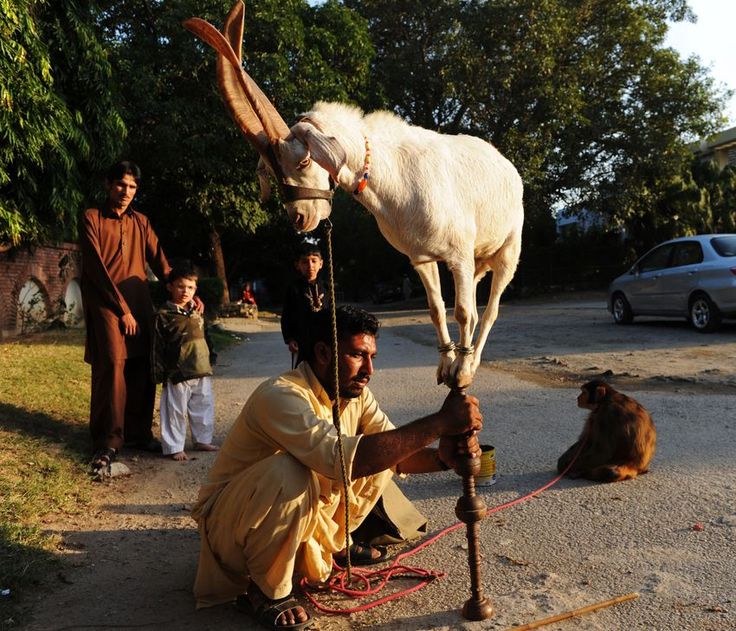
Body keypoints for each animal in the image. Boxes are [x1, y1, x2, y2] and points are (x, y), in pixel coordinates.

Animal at [184, 2, 523, 389]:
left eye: (303, 159)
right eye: (271, 169)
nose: (300, 217)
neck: (396, 178)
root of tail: (507, 167)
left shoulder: (459, 254)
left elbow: (465, 311)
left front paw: (462, 371)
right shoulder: (422, 258)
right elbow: (436, 309)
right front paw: (444, 366)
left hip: (508, 248)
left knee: (492, 307)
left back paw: (473, 359)